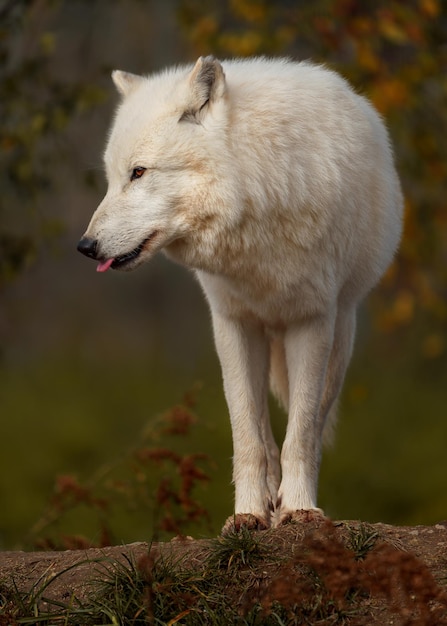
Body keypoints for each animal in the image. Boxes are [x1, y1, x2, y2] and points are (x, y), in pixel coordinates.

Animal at [79, 56, 404, 528]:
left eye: (138, 173)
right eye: (111, 179)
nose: (85, 246)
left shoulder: (311, 321)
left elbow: (301, 433)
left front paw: (299, 508)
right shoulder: (232, 325)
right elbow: (248, 435)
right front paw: (248, 513)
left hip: (340, 336)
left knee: (314, 424)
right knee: (265, 436)